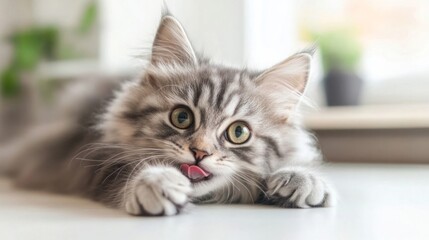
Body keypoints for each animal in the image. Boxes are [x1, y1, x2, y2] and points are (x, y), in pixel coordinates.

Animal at [0, 13, 334, 216]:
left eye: (238, 133)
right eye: (182, 118)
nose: (200, 153)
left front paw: (302, 179)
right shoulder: (88, 158)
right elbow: (126, 174)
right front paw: (157, 182)